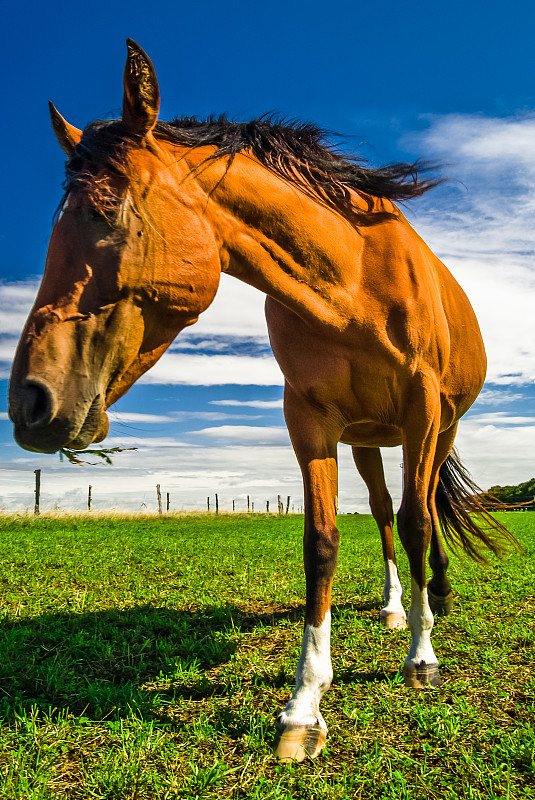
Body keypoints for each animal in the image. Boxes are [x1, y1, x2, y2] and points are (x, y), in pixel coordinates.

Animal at [9, 39, 520, 764]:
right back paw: (397, 606)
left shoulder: (422, 412)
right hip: (368, 442)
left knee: (421, 511)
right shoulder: (308, 420)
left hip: (434, 430)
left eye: (106, 212)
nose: (29, 402)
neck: (354, 279)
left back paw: (434, 600)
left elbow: (422, 525)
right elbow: (322, 544)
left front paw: (423, 661)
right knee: (386, 515)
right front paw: (305, 706)